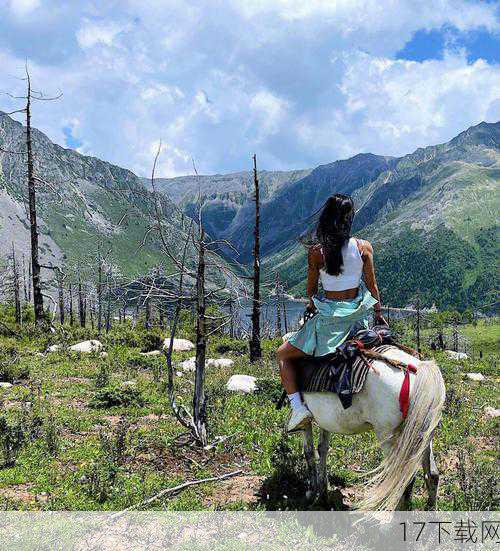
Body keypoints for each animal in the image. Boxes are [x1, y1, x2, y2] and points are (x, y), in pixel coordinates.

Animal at [300, 348, 446, 512]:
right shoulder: (325, 421)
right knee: (432, 474)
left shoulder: (307, 420)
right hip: (423, 436)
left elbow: (309, 452)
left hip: (389, 437)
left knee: (402, 480)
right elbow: (322, 449)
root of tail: (419, 369)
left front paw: (311, 493)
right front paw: (323, 494)